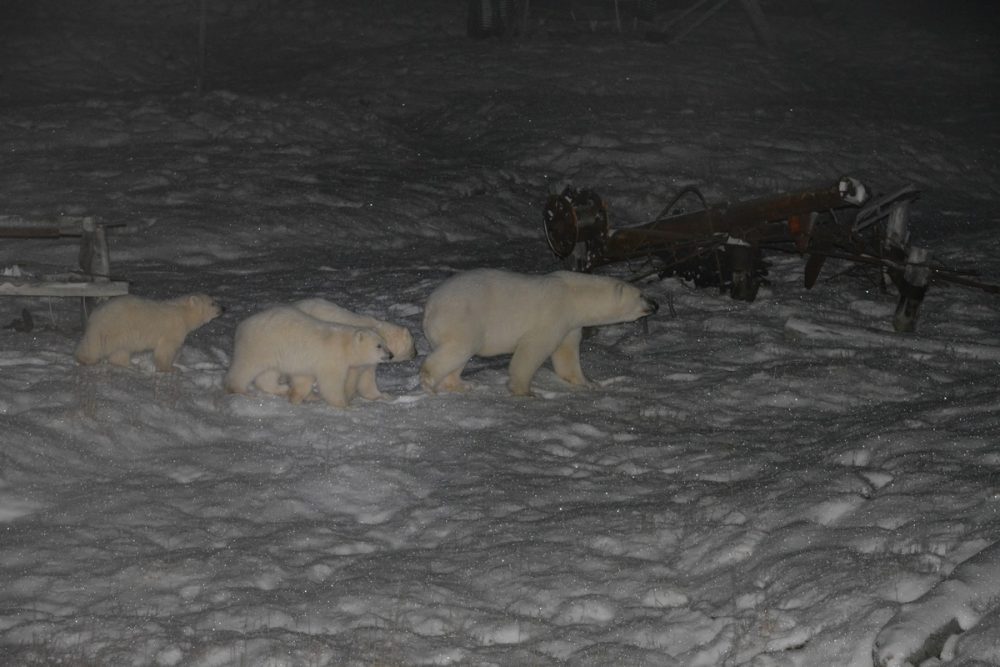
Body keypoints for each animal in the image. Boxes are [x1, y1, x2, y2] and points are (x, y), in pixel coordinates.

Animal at [74, 294, 223, 374]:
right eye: (212, 303)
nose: (224, 308)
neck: (183, 314)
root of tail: (95, 313)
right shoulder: (173, 329)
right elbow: (166, 349)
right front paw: (170, 369)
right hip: (111, 328)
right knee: (94, 345)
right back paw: (86, 359)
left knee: (121, 351)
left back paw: (130, 365)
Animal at [225, 306, 392, 408]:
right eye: (379, 346)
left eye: (385, 342)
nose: (390, 355)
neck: (344, 344)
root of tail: (242, 325)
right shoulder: (331, 359)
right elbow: (331, 383)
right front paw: (345, 404)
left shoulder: (306, 364)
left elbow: (303, 380)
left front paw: (296, 397)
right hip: (260, 345)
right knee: (246, 367)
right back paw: (240, 389)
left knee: (269, 373)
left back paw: (281, 388)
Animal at [420, 268, 660, 396]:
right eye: (641, 294)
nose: (655, 304)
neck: (575, 294)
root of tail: (430, 306)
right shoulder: (553, 314)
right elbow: (532, 350)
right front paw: (525, 391)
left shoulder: (570, 324)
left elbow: (567, 354)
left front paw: (588, 383)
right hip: (462, 316)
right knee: (460, 347)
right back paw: (430, 384)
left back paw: (461, 384)